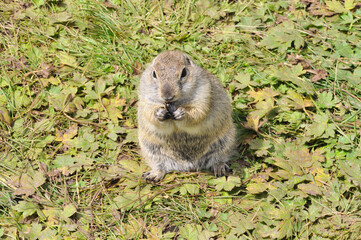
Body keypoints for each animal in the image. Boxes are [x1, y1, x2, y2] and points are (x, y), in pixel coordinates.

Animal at [136, 50, 235, 182]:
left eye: (184, 72)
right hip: (151, 149)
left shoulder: (203, 94)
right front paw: (159, 113)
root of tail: (189, 165)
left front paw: (181, 113)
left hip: (224, 142)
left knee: (219, 158)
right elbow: (149, 112)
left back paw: (219, 168)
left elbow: (198, 112)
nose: (167, 95)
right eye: (154, 74)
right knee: (160, 166)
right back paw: (153, 175)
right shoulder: (146, 98)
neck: (175, 103)